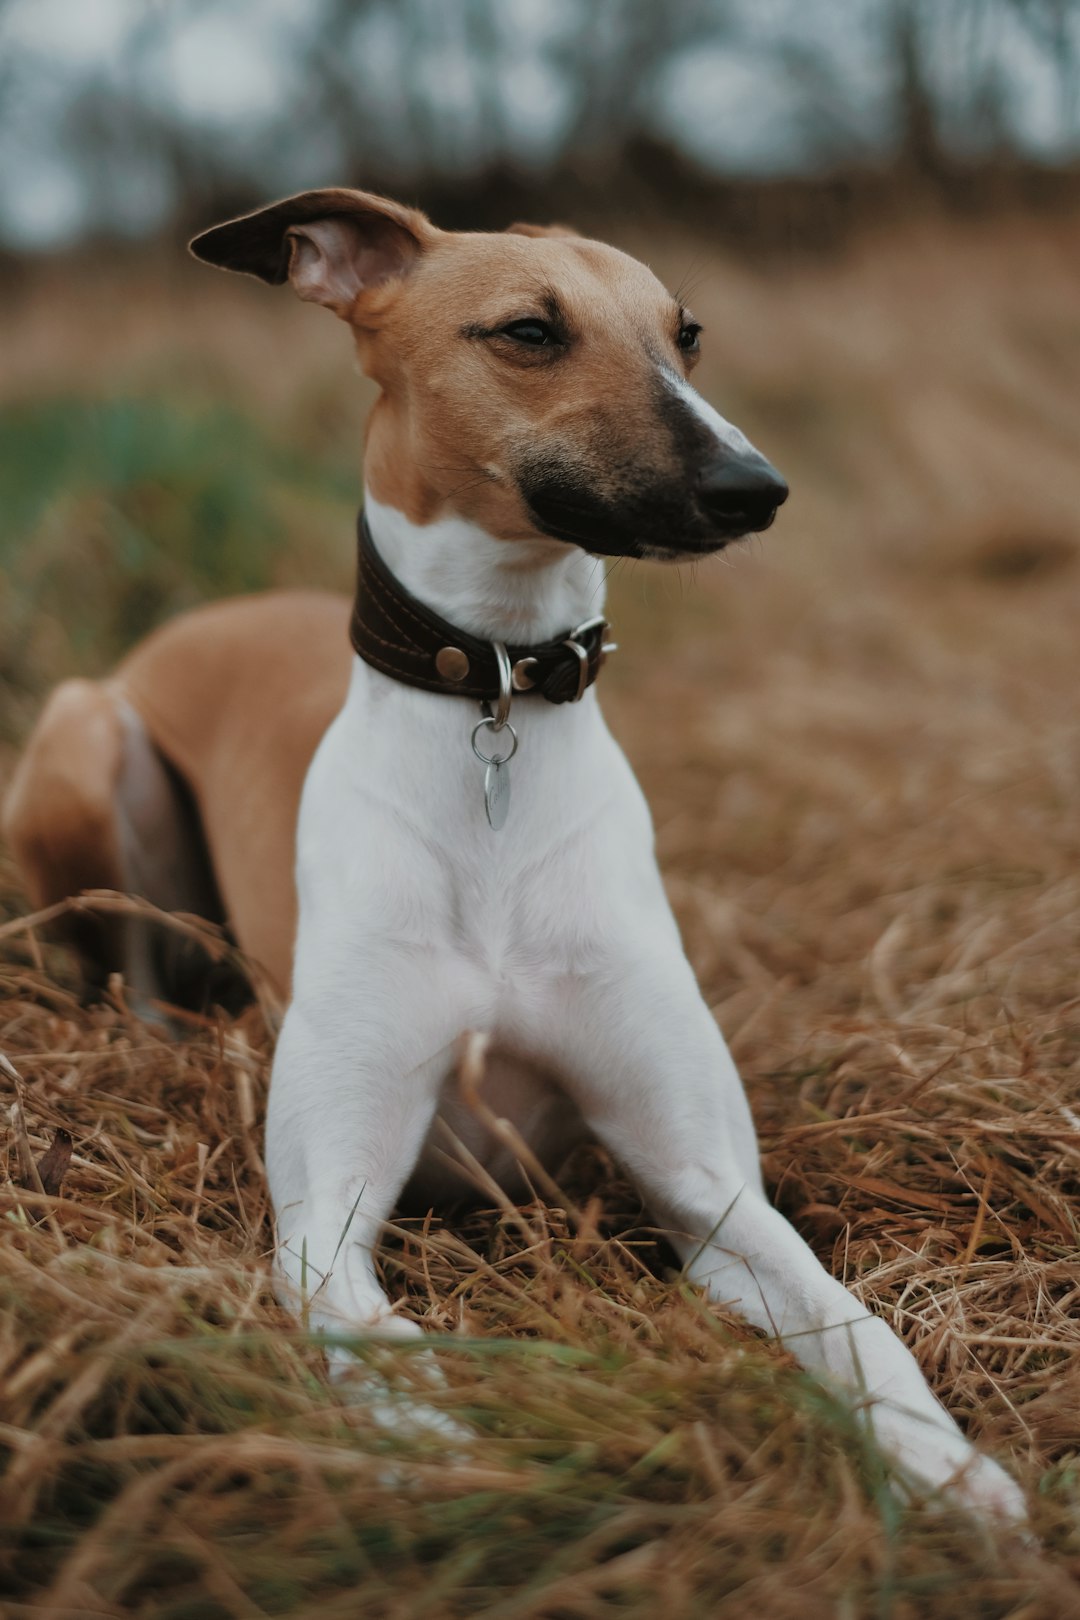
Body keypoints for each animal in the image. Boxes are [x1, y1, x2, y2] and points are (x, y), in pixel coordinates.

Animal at [0, 189, 1029, 1529]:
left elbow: (856, 1326)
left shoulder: (711, 1192)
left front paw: (955, 1474)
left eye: (688, 332)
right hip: (89, 738)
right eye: (529, 331)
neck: (494, 699)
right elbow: (369, 1335)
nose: (755, 487)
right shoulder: (325, 1219)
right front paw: (445, 1453)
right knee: (127, 965)